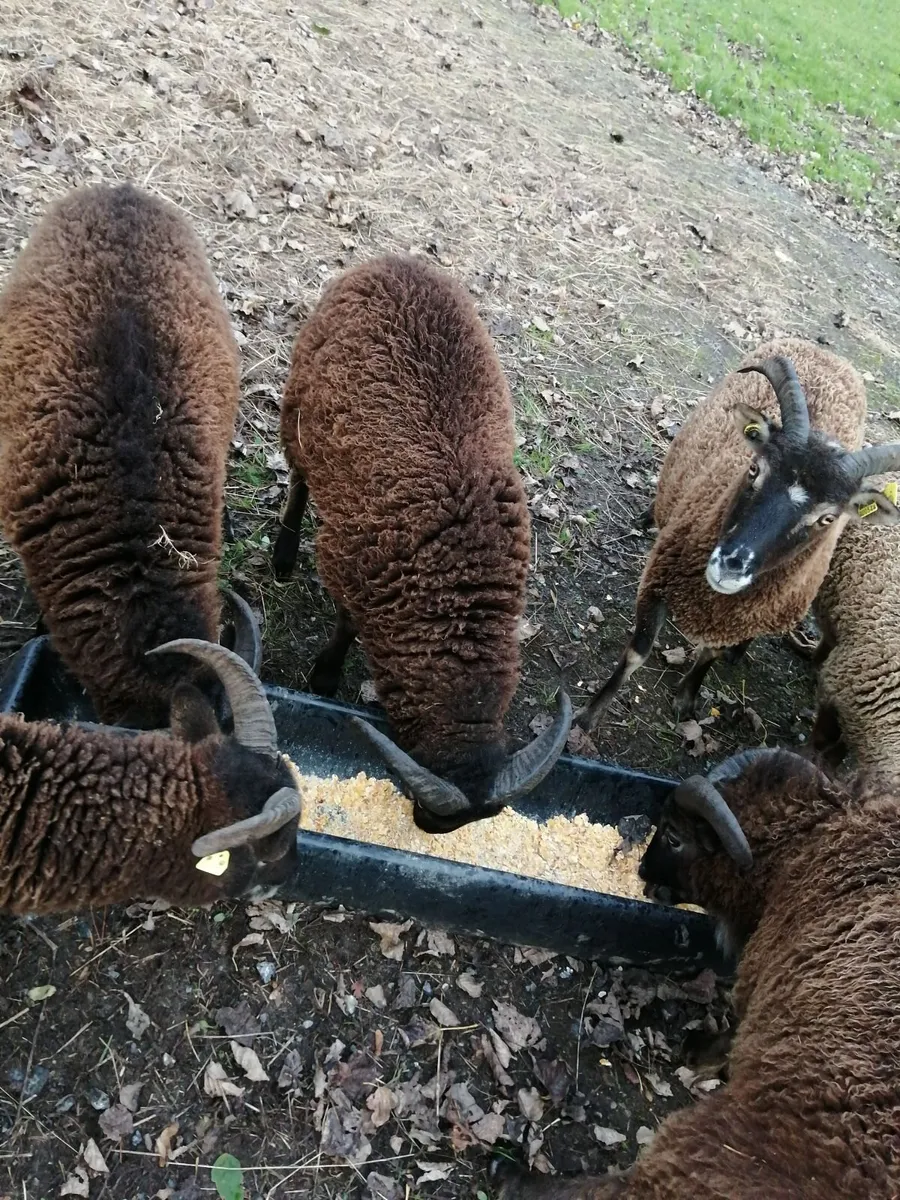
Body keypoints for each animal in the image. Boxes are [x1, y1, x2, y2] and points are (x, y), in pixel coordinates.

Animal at [273, 254, 571, 833]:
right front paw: (324, 676)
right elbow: (346, 624)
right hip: (299, 404)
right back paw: (281, 556)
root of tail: (396, 261)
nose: (427, 827)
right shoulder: (352, 563)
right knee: (298, 480)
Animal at [494, 746, 900, 1200]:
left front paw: (697, 1051)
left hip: (729, 1154)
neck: (812, 841)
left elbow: (733, 1028)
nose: (644, 874)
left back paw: (510, 1174)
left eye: (674, 836)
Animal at [576, 340, 900, 729]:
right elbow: (637, 653)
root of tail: (826, 352)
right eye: (754, 469)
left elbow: (710, 655)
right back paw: (648, 516)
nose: (731, 566)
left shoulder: (738, 620)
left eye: (827, 518)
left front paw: (687, 697)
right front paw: (589, 715)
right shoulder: (656, 580)